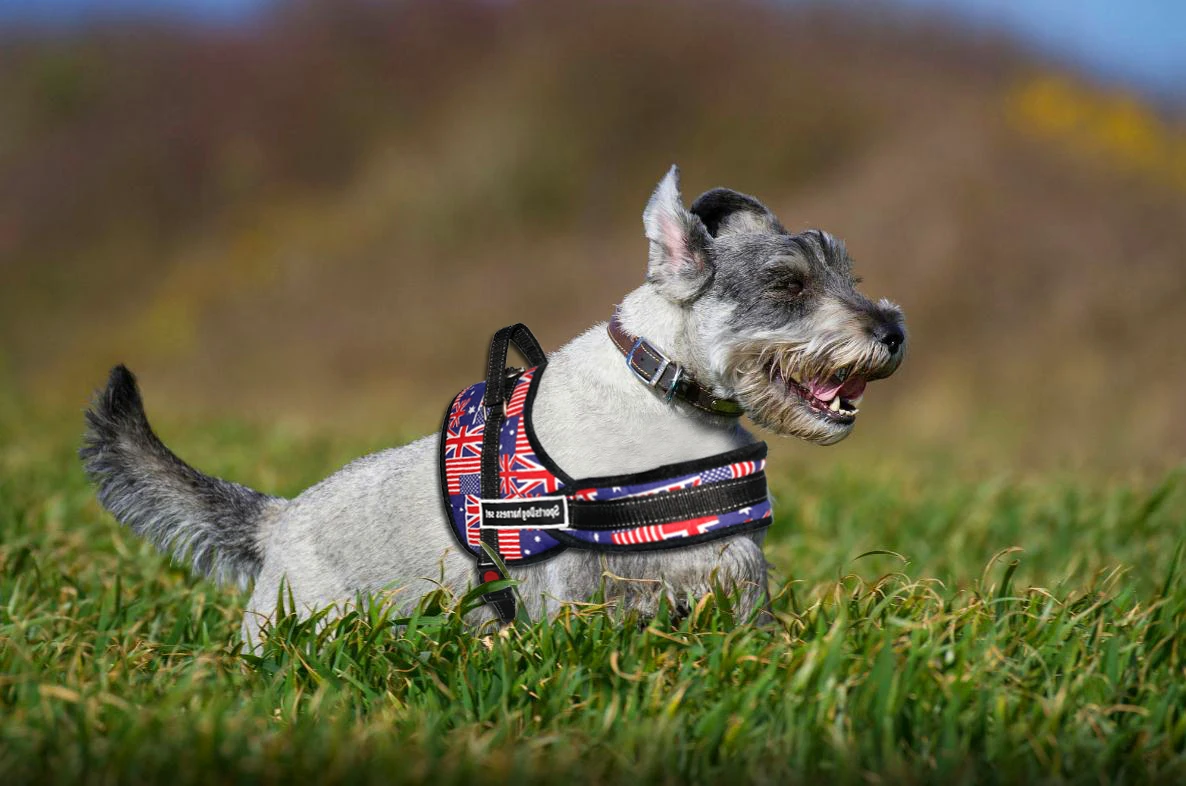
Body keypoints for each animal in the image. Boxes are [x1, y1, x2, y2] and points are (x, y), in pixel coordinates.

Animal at [78, 165, 901, 644]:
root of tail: (275, 520)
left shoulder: (733, 572)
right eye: (788, 283)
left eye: (849, 273)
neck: (666, 394)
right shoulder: (572, 587)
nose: (892, 331)